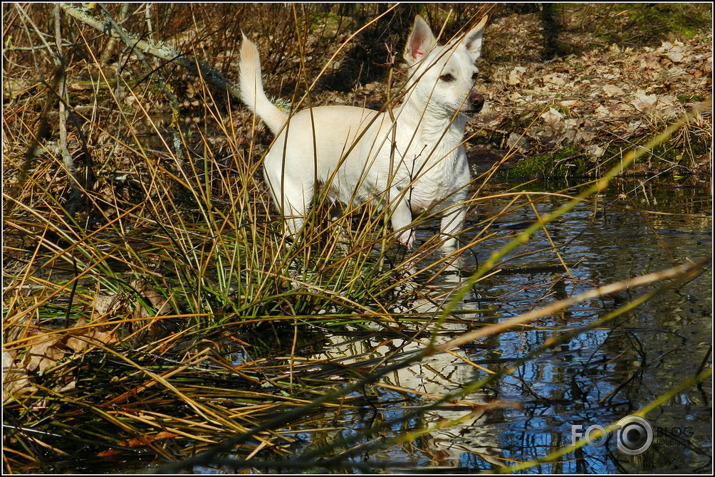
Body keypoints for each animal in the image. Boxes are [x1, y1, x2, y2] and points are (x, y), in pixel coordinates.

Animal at [241, 14, 486, 249]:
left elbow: (449, 251)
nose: (479, 100)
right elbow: (400, 208)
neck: (435, 138)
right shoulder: (381, 185)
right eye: (446, 77)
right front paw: (404, 234)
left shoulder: (455, 212)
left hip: (336, 208)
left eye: (474, 76)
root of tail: (285, 121)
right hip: (295, 203)